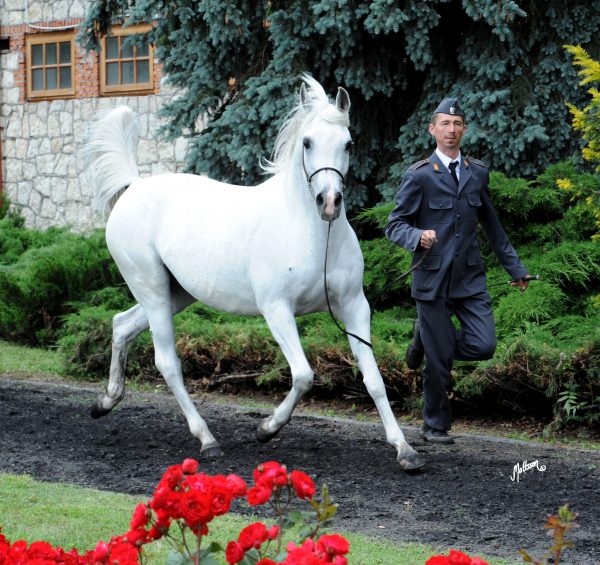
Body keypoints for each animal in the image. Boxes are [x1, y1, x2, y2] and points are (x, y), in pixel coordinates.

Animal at [82, 76, 424, 472]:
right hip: (150, 289)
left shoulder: (354, 307)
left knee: (121, 325)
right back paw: (208, 440)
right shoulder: (277, 309)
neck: (311, 234)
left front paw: (405, 450)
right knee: (167, 363)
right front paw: (266, 429)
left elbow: (374, 379)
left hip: (176, 294)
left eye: (348, 143)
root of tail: (134, 187)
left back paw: (105, 402)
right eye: (307, 142)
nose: (329, 203)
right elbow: (304, 375)